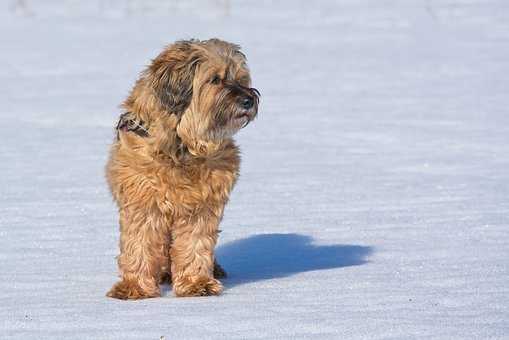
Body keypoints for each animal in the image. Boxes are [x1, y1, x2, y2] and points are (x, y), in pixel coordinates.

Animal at [106, 38, 258, 298]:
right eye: (215, 79)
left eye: (241, 78)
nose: (249, 99)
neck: (181, 147)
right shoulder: (143, 199)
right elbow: (140, 242)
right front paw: (134, 287)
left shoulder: (202, 205)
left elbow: (195, 243)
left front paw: (197, 283)